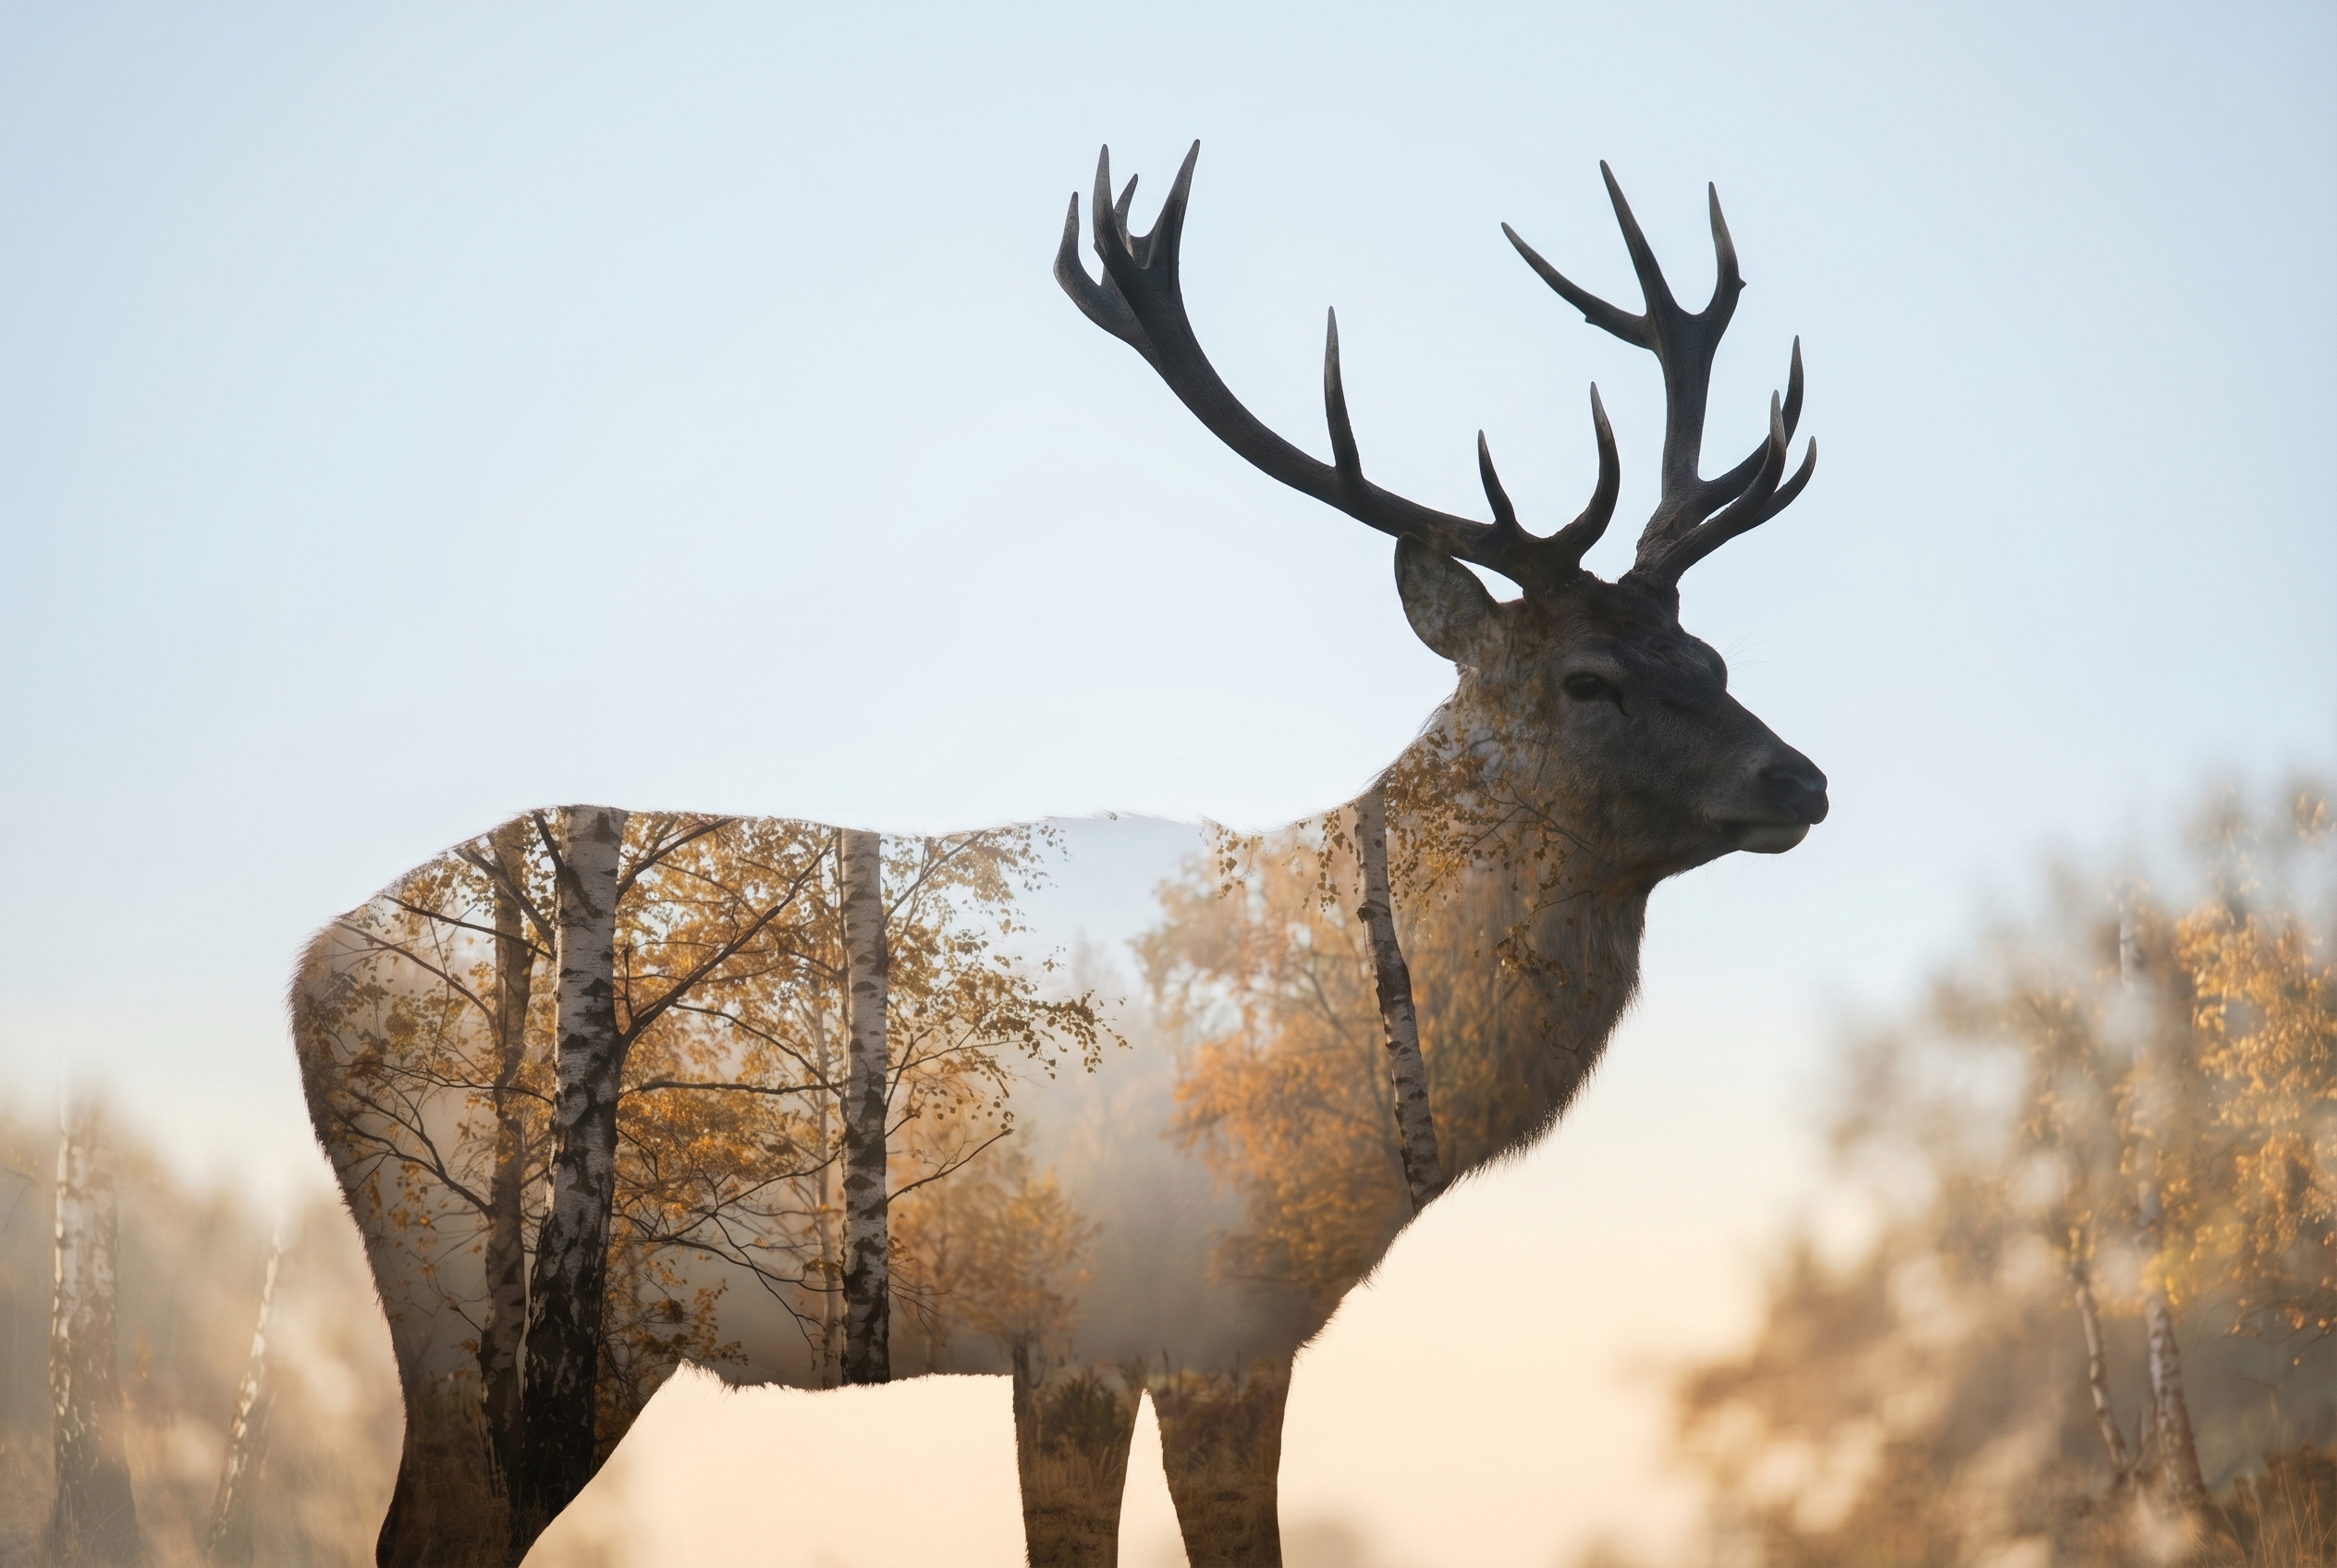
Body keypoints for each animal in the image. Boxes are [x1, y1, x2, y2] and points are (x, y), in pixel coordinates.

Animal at [291, 143, 1827, 1568]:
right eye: (1588, 681)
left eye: (1712, 657)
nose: (1801, 777)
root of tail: (306, 969)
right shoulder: (1105, 1316)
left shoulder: (1226, 1330)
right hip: (475, 1284)